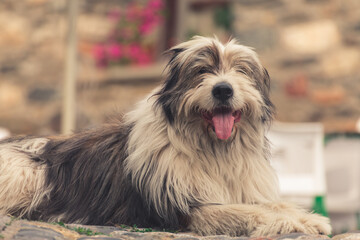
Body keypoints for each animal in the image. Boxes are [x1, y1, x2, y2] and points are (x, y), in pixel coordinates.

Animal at [0, 36, 332, 237]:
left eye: (241, 70)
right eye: (201, 70)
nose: (223, 89)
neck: (213, 150)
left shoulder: (240, 188)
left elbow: (270, 203)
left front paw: (309, 218)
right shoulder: (184, 210)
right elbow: (241, 212)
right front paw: (282, 222)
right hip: (28, 172)